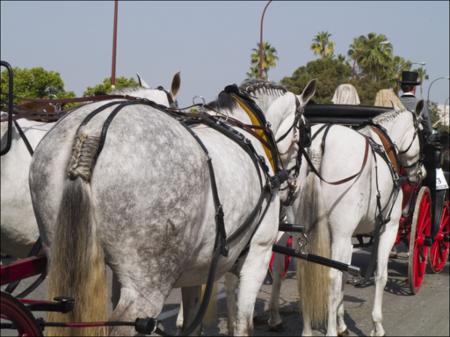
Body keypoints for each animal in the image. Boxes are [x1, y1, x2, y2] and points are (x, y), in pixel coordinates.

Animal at [29, 79, 316, 336]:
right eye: (306, 135)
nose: (293, 190)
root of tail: (90, 132)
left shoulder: (198, 268)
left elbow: (193, 322)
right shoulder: (257, 254)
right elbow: (243, 325)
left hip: (65, 261)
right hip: (148, 282)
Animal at [268, 103, 424, 334]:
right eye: (422, 133)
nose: (420, 173)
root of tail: (316, 149)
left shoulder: (344, 237)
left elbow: (343, 275)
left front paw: (341, 321)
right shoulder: (388, 227)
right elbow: (380, 275)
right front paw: (377, 325)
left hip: (300, 232)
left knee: (296, 269)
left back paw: (302, 328)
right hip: (342, 234)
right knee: (331, 277)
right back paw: (330, 331)